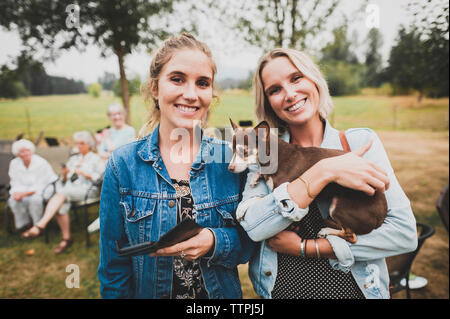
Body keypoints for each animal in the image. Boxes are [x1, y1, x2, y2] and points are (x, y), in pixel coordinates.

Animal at [227, 119, 388, 244]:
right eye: (232, 150)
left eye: (244, 152)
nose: (230, 168)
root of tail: (381, 217)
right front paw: (256, 176)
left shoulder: (284, 192)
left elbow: (261, 198)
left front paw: (242, 207)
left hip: (339, 206)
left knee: (351, 236)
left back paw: (326, 230)